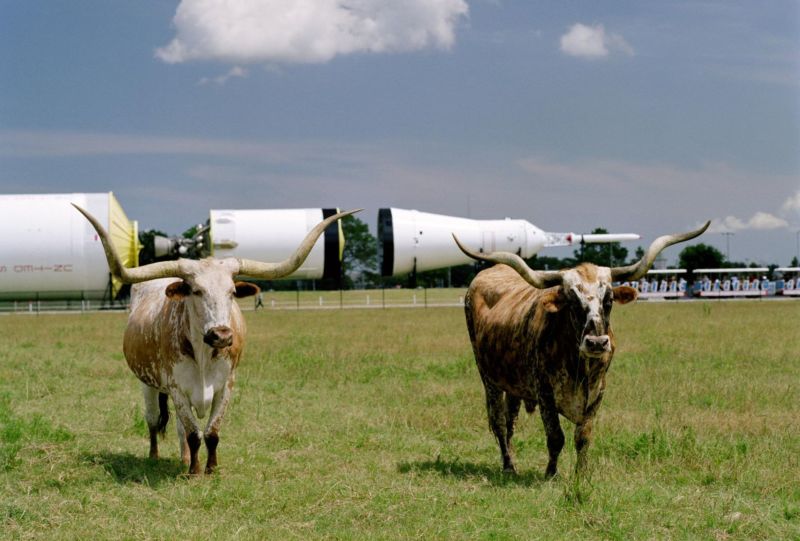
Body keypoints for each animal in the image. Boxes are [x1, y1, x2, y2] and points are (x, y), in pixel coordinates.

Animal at [76, 205, 360, 474]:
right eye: (196, 291)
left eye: (232, 291)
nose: (221, 335)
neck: (203, 355)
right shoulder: (176, 389)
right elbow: (193, 433)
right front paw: (194, 472)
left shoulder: (226, 387)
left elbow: (211, 432)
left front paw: (210, 469)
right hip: (147, 384)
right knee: (153, 420)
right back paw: (155, 456)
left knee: (178, 428)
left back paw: (183, 458)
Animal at [454, 220, 708, 476]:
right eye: (572, 301)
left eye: (609, 300)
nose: (596, 343)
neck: (579, 366)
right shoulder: (545, 392)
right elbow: (556, 437)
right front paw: (551, 473)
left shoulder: (598, 392)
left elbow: (583, 436)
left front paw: (582, 475)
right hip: (489, 378)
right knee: (498, 422)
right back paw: (508, 466)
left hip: (513, 383)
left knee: (510, 421)